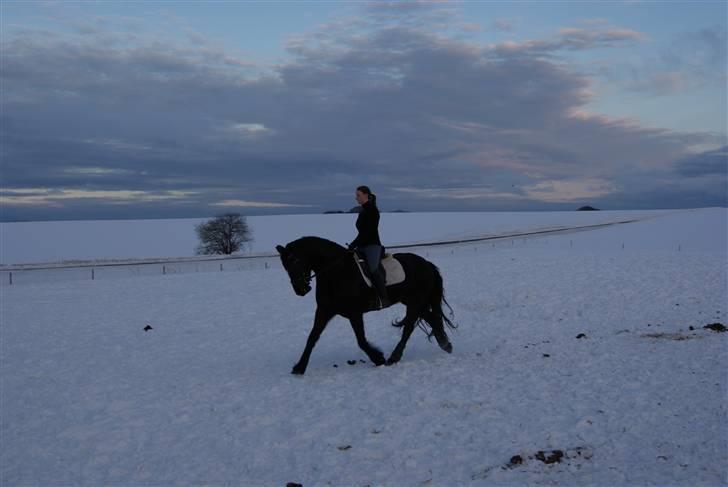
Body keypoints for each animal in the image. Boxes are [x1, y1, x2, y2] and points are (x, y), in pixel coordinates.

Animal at [274, 238, 456, 376]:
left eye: (294, 260)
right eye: (284, 265)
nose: (300, 290)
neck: (336, 271)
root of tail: (426, 264)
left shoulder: (354, 313)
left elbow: (361, 340)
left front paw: (378, 358)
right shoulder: (325, 310)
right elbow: (312, 337)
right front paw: (299, 367)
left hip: (415, 302)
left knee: (409, 327)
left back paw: (393, 358)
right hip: (414, 302)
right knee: (432, 318)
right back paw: (445, 344)